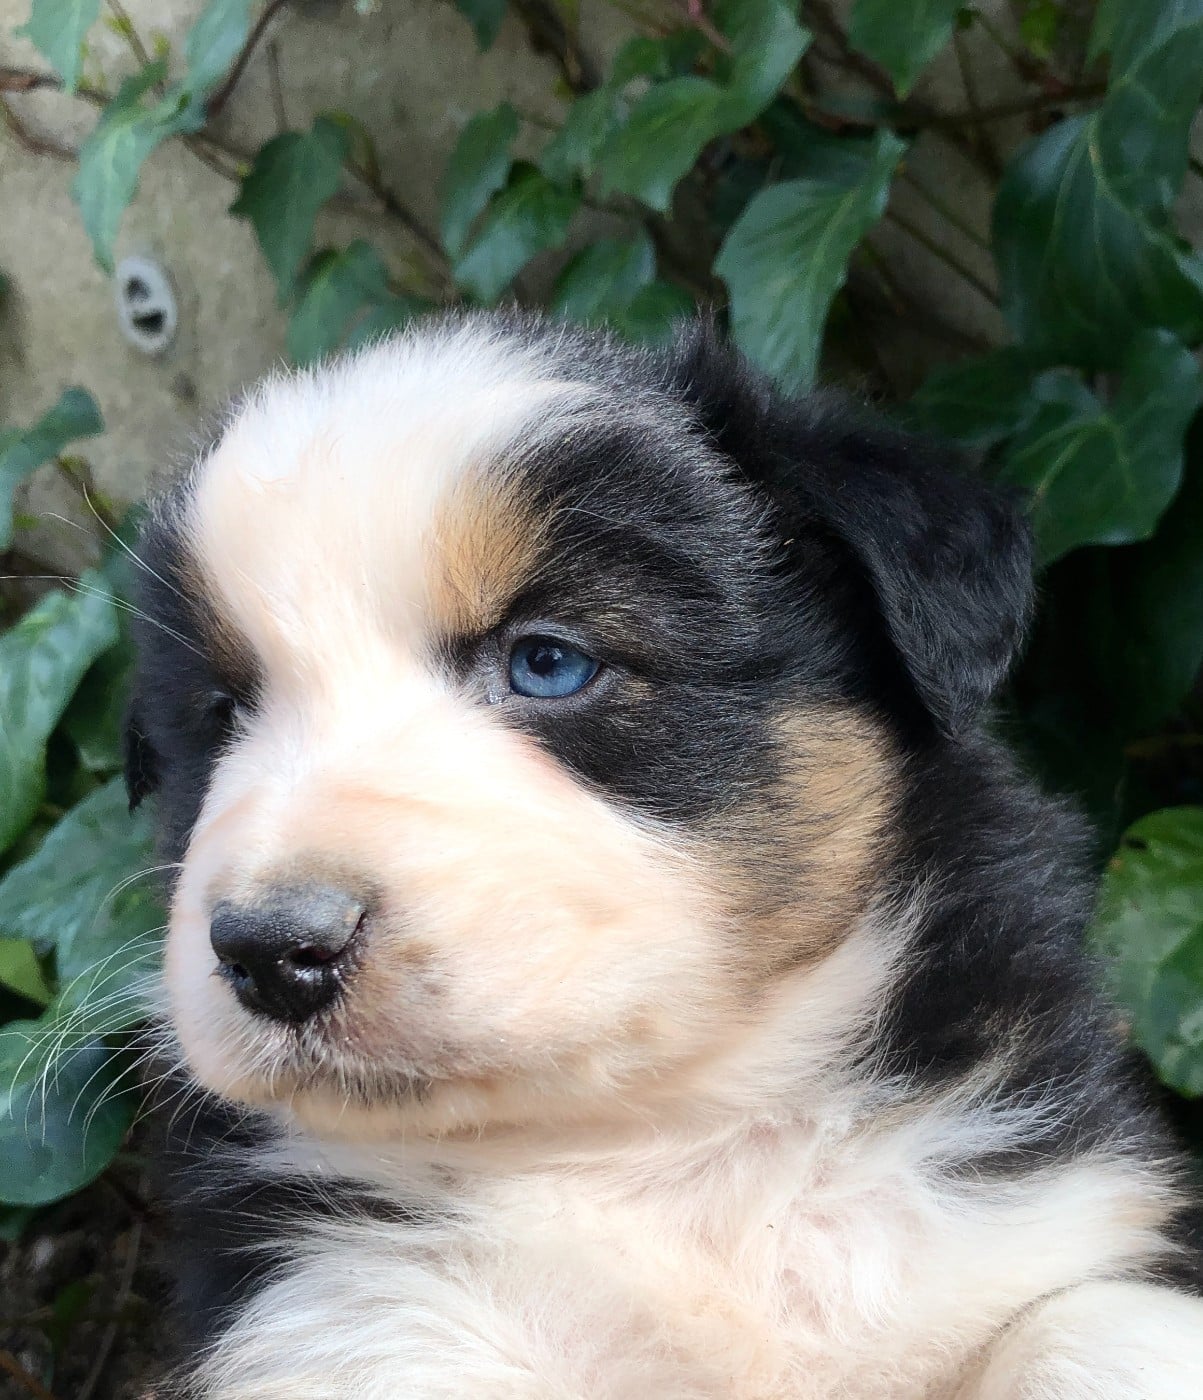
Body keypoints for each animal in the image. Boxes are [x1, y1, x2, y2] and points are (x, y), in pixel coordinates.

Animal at [125, 311, 1203, 1398]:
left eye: (548, 661)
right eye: (219, 715)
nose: (272, 948)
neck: (668, 1148)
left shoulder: (1043, 1218)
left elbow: (1087, 1329)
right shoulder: (353, 1320)